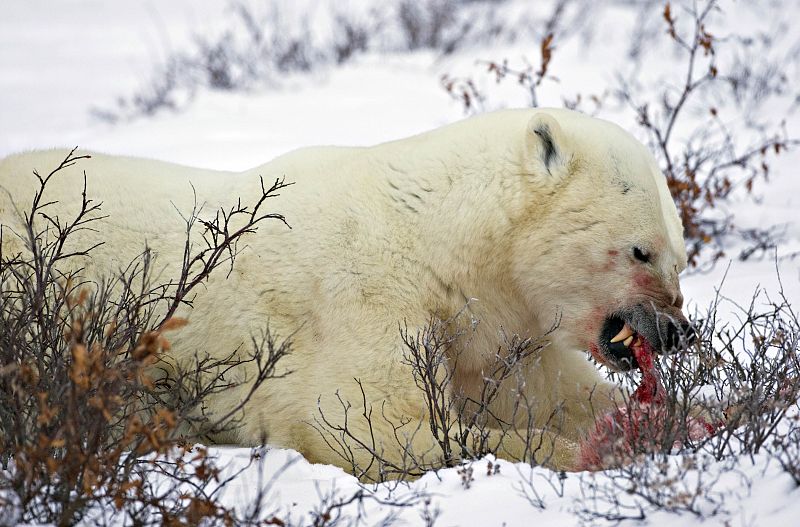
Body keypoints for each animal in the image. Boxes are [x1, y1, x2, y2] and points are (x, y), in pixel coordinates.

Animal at [0, 109, 692, 476]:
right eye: (640, 250)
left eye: (681, 256)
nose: (675, 331)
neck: (437, 239)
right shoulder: (362, 297)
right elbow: (362, 423)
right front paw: (593, 449)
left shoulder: (489, 334)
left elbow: (552, 392)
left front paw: (692, 418)